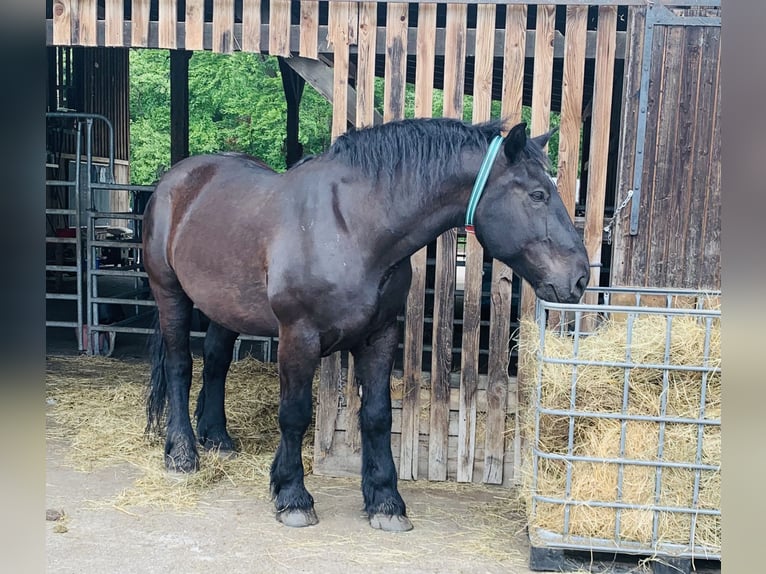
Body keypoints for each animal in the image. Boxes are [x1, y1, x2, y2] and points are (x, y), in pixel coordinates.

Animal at [142, 117, 590, 532]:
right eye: (538, 194)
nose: (580, 278)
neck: (351, 226)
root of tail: (177, 179)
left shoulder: (380, 336)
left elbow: (378, 416)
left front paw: (385, 501)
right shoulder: (298, 337)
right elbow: (295, 414)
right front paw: (292, 496)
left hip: (225, 306)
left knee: (216, 362)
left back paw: (217, 438)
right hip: (170, 294)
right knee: (181, 367)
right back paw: (182, 453)